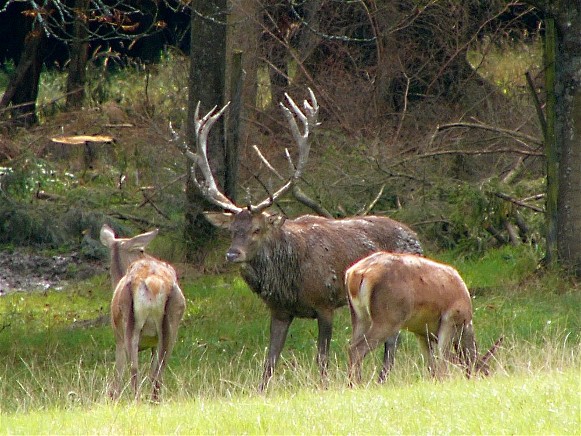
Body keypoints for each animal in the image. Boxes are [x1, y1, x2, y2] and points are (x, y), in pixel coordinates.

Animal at [99, 225, 185, 402]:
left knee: (134, 368)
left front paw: (113, 398)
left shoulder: (117, 337)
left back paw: (137, 400)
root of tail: (153, 283)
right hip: (171, 324)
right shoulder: (153, 342)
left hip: (129, 324)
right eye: (141, 249)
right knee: (157, 370)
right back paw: (153, 401)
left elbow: (118, 371)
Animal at [342, 252, 500, 384]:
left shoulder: (421, 332)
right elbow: (442, 357)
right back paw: (357, 384)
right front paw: (445, 381)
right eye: (484, 372)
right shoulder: (450, 319)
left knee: (352, 344)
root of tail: (356, 274)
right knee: (358, 348)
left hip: (359, 315)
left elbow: (430, 364)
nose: (471, 377)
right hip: (388, 318)